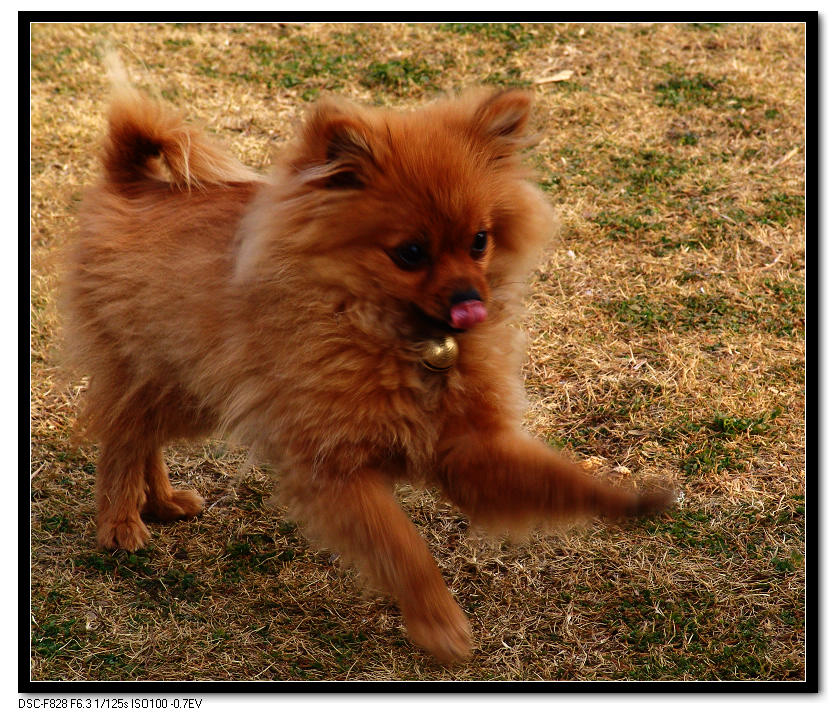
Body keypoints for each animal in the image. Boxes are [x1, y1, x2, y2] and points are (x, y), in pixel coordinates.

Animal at [67, 64, 672, 664]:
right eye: (410, 254)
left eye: (480, 241)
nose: (469, 299)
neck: (403, 338)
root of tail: (130, 180)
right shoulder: (335, 467)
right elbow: (404, 547)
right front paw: (439, 624)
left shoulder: (468, 446)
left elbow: (551, 477)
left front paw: (626, 499)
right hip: (165, 375)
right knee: (122, 436)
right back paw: (120, 521)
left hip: (193, 389)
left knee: (143, 435)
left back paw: (163, 502)